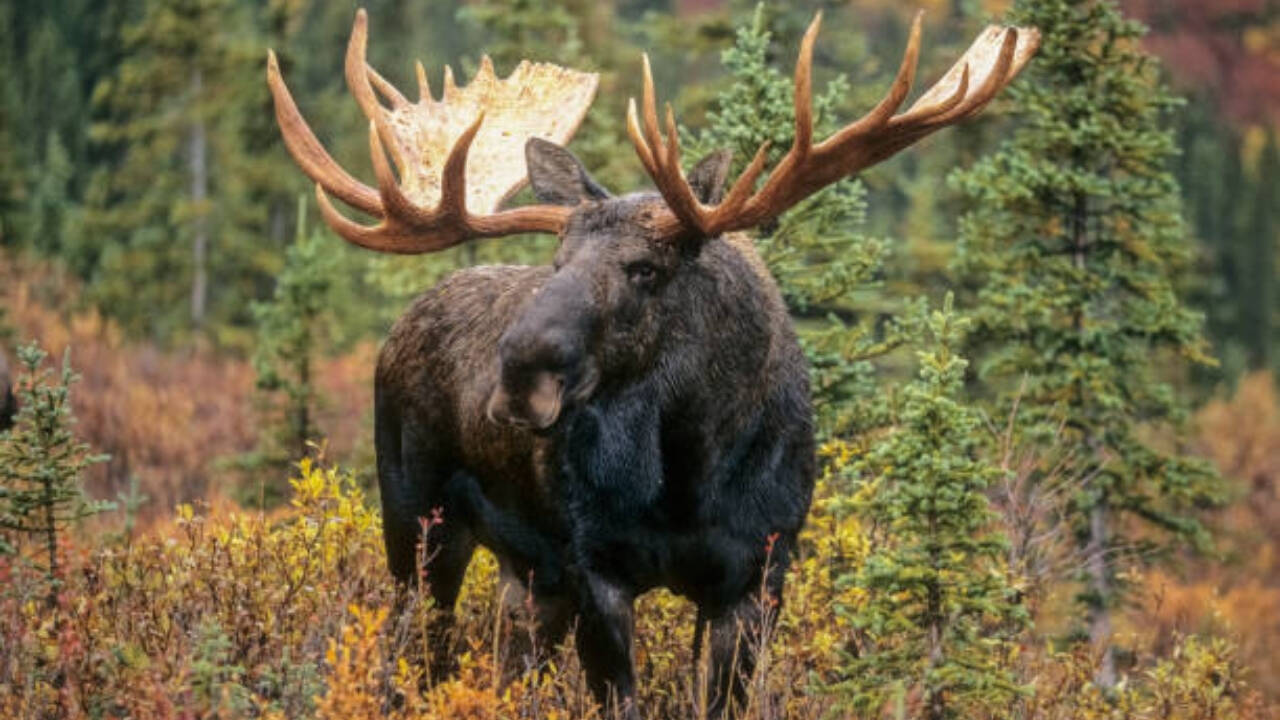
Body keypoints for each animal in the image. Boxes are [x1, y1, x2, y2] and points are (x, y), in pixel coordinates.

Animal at [267, 9, 1037, 718]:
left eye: (645, 269)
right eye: (557, 262)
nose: (517, 376)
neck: (689, 469)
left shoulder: (760, 571)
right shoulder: (594, 569)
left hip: (529, 574)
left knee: (508, 667)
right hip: (418, 521)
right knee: (411, 656)